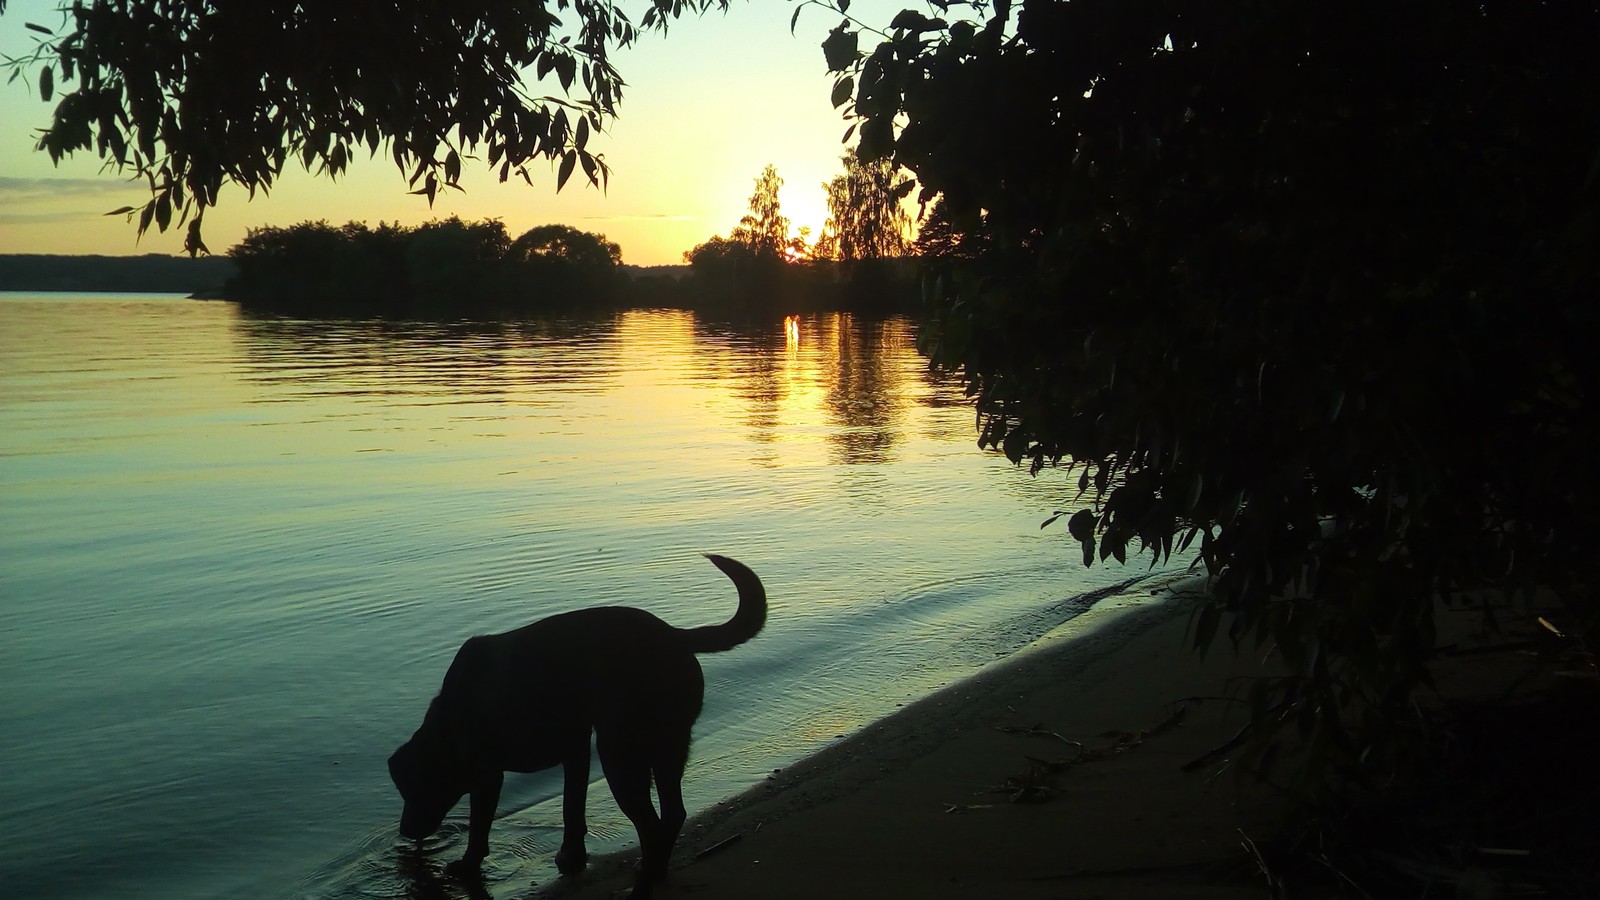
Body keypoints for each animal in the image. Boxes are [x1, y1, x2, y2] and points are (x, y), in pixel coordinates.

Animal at [385, 550, 761, 890]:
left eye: (412, 789)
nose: (405, 832)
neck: (450, 718)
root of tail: (673, 635)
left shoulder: (487, 775)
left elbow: (480, 826)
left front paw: (466, 865)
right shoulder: (575, 749)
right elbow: (572, 806)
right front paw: (573, 855)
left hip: (619, 753)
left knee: (650, 822)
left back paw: (646, 875)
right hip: (668, 744)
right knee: (673, 813)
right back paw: (653, 868)